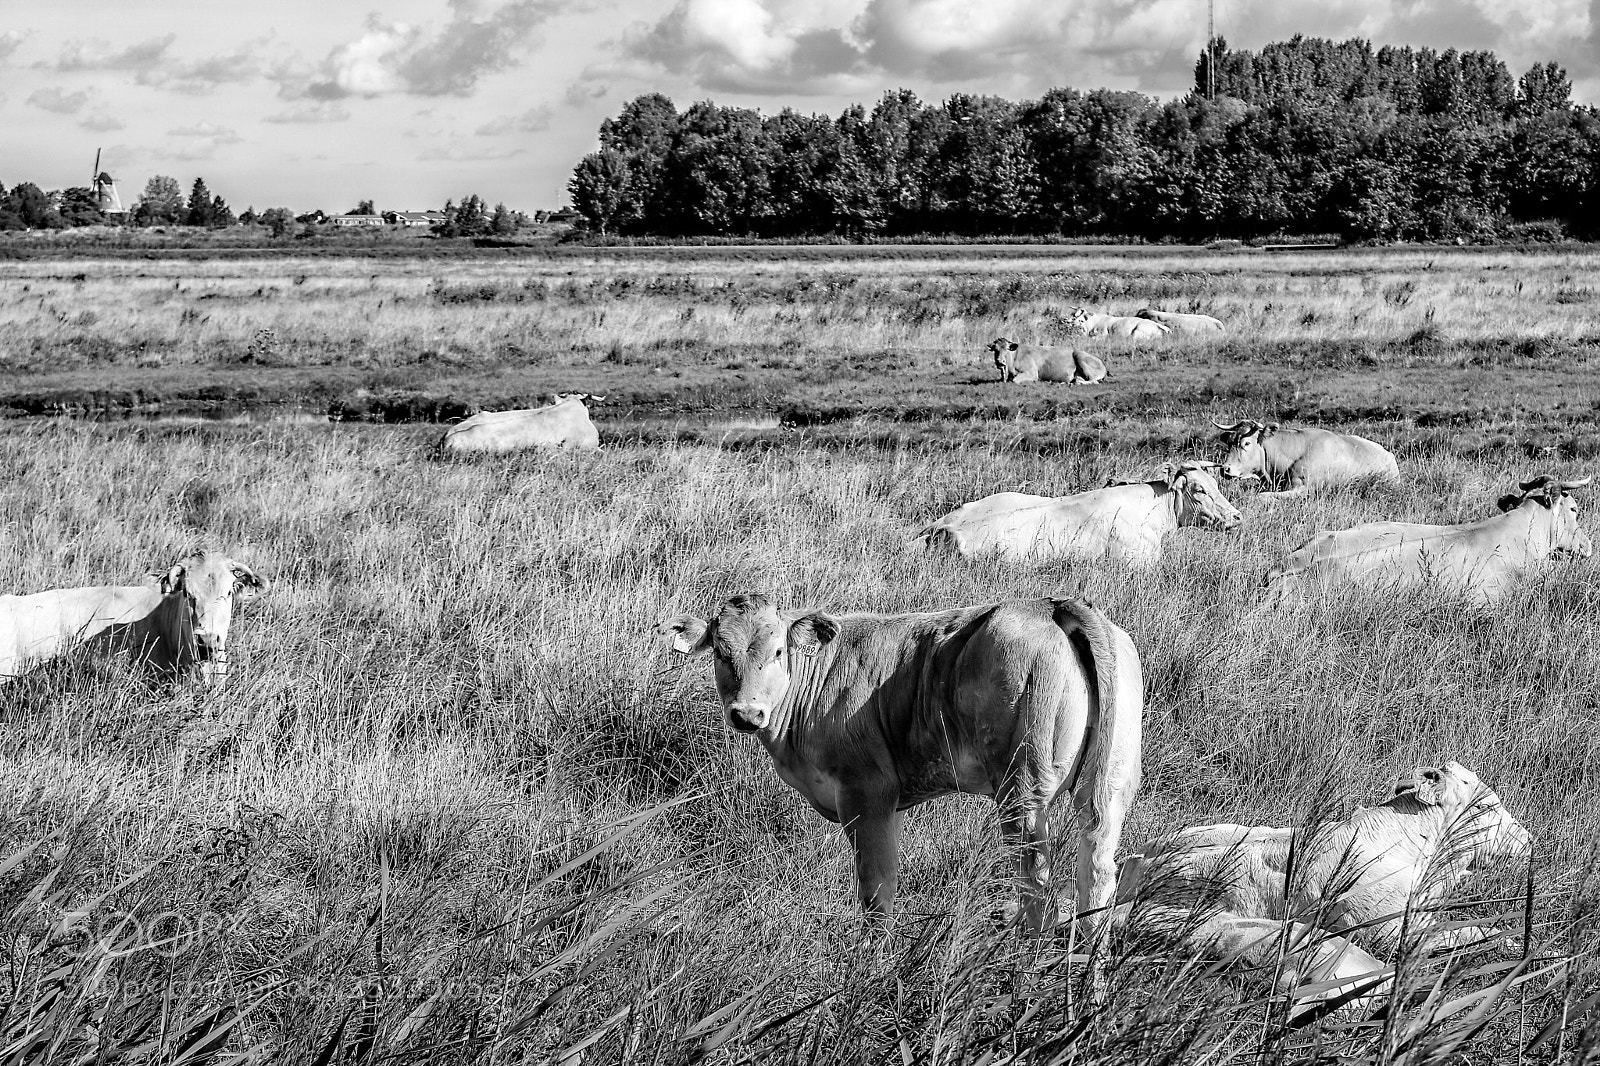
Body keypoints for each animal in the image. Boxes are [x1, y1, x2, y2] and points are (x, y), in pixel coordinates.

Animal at [658, 595, 1143, 939]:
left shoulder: (867, 792)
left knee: (1039, 886)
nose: (746, 713)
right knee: (1097, 879)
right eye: (720, 653)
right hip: (1110, 785)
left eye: (778, 651)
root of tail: (1050, 605)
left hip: (1021, 790)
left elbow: (876, 891)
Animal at [1115, 762, 1531, 956]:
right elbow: (1469, 932)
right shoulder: (1387, 929)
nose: (1528, 838)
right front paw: (1516, 945)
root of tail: (1134, 860)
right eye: (1487, 806)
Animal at [1212, 418, 1400, 498]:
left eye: (1246, 443)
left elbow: (1262, 496)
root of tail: (1389, 455)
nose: (1225, 469)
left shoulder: (1303, 488)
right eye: (1229, 442)